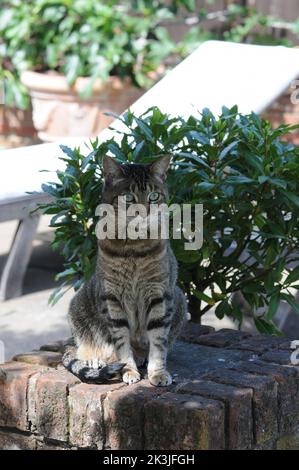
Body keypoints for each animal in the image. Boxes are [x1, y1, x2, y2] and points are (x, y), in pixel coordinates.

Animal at [63, 154, 188, 386]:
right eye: (128, 197)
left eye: (154, 196)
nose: (144, 211)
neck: (134, 248)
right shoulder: (113, 298)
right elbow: (121, 343)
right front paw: (128, 370)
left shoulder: (159, 294)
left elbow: (158, 342)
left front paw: (158, 372)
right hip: (79, 305)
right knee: (82, 348)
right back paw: (96, 359)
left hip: (179, 299)